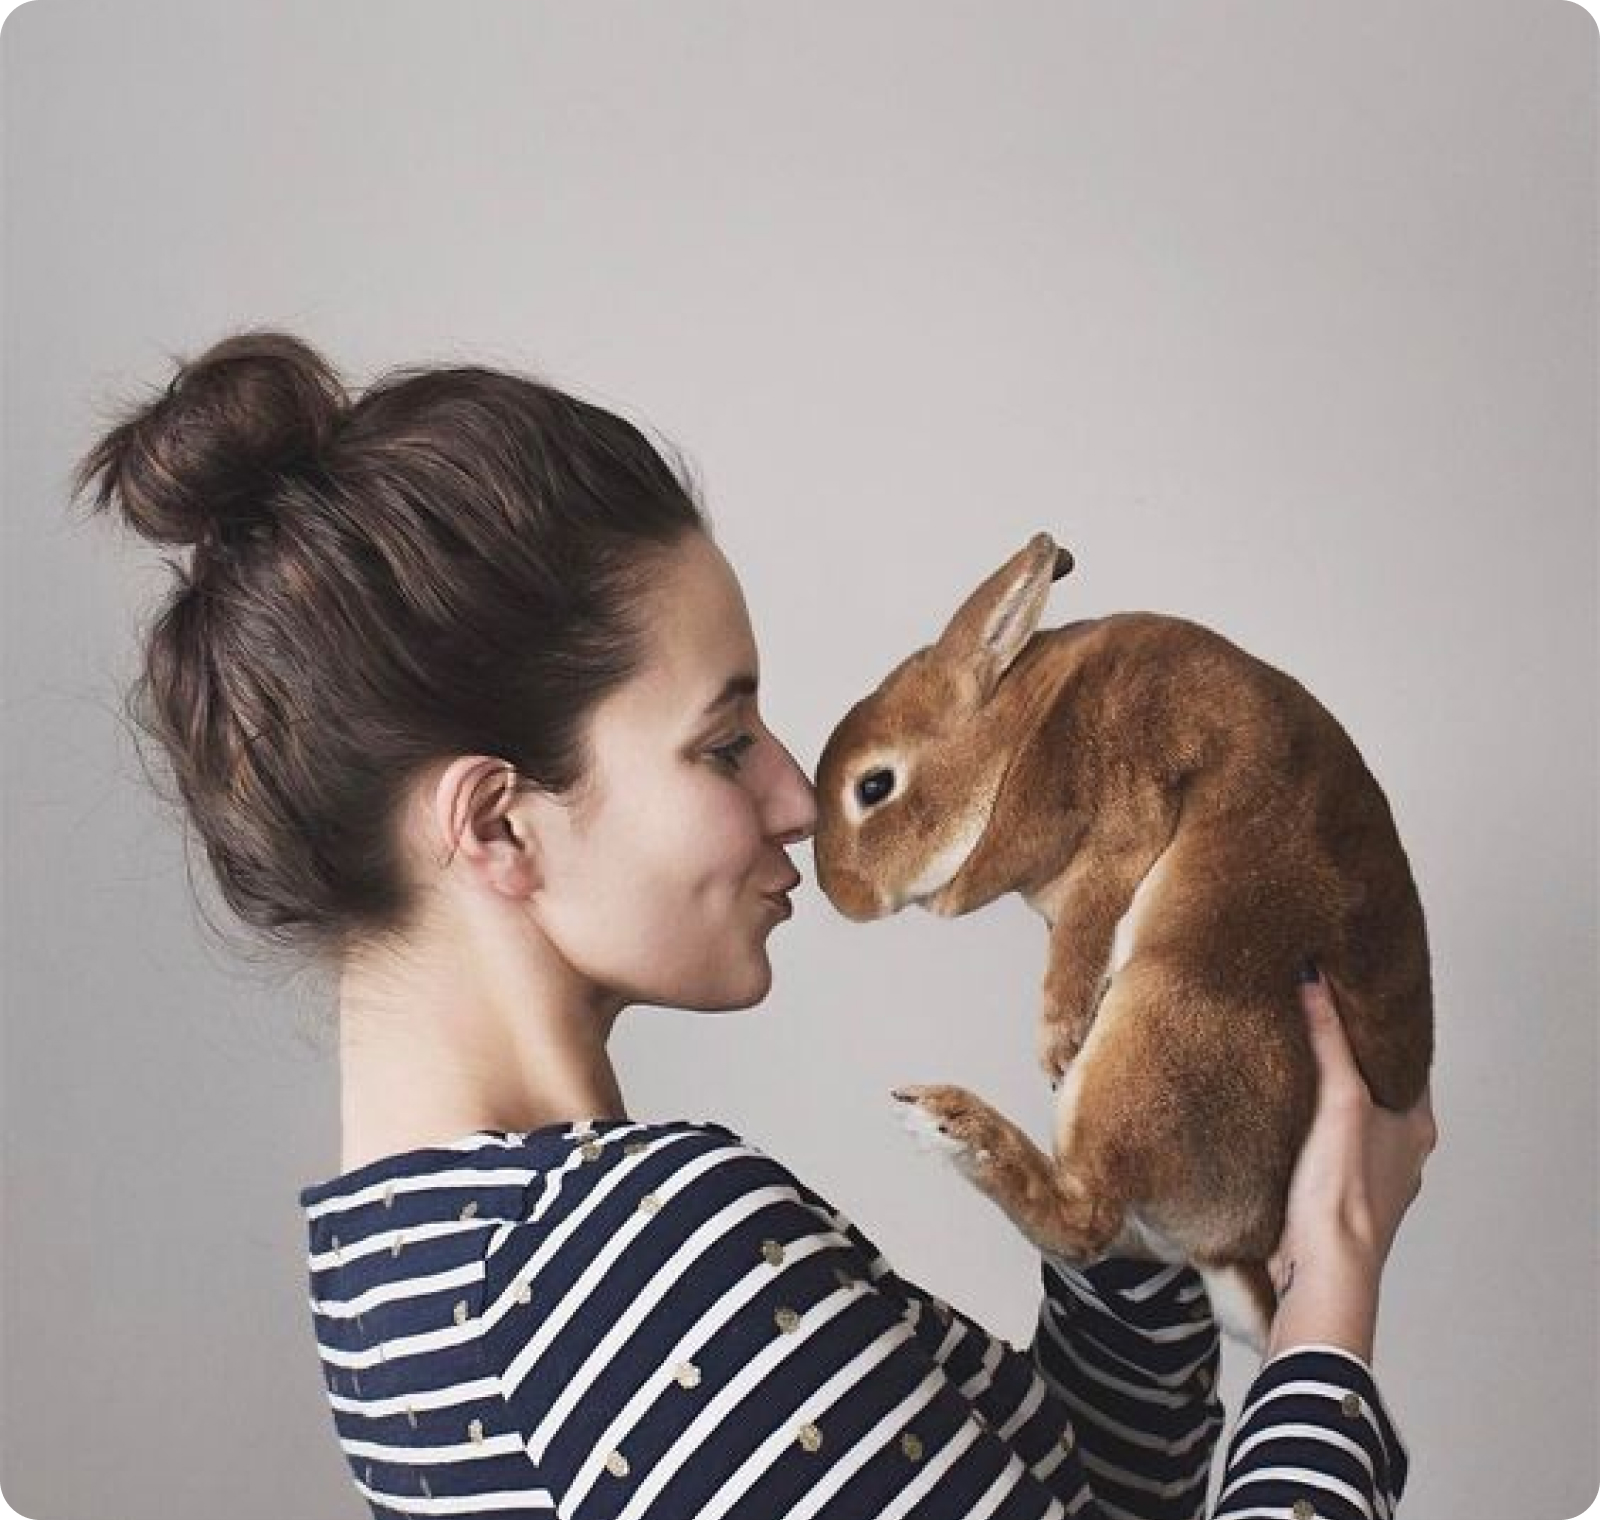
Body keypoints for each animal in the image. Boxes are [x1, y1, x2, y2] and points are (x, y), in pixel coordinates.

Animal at [812, 534, 1440, 1356]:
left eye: (874, 787)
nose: (840, 895)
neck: (1011, 740)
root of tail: (1237, 1246)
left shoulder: (1121, 829)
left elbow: (1081, 943)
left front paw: (1055, 1045)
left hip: (1159, 1025)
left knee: (1088, 1218)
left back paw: (952, 1124)